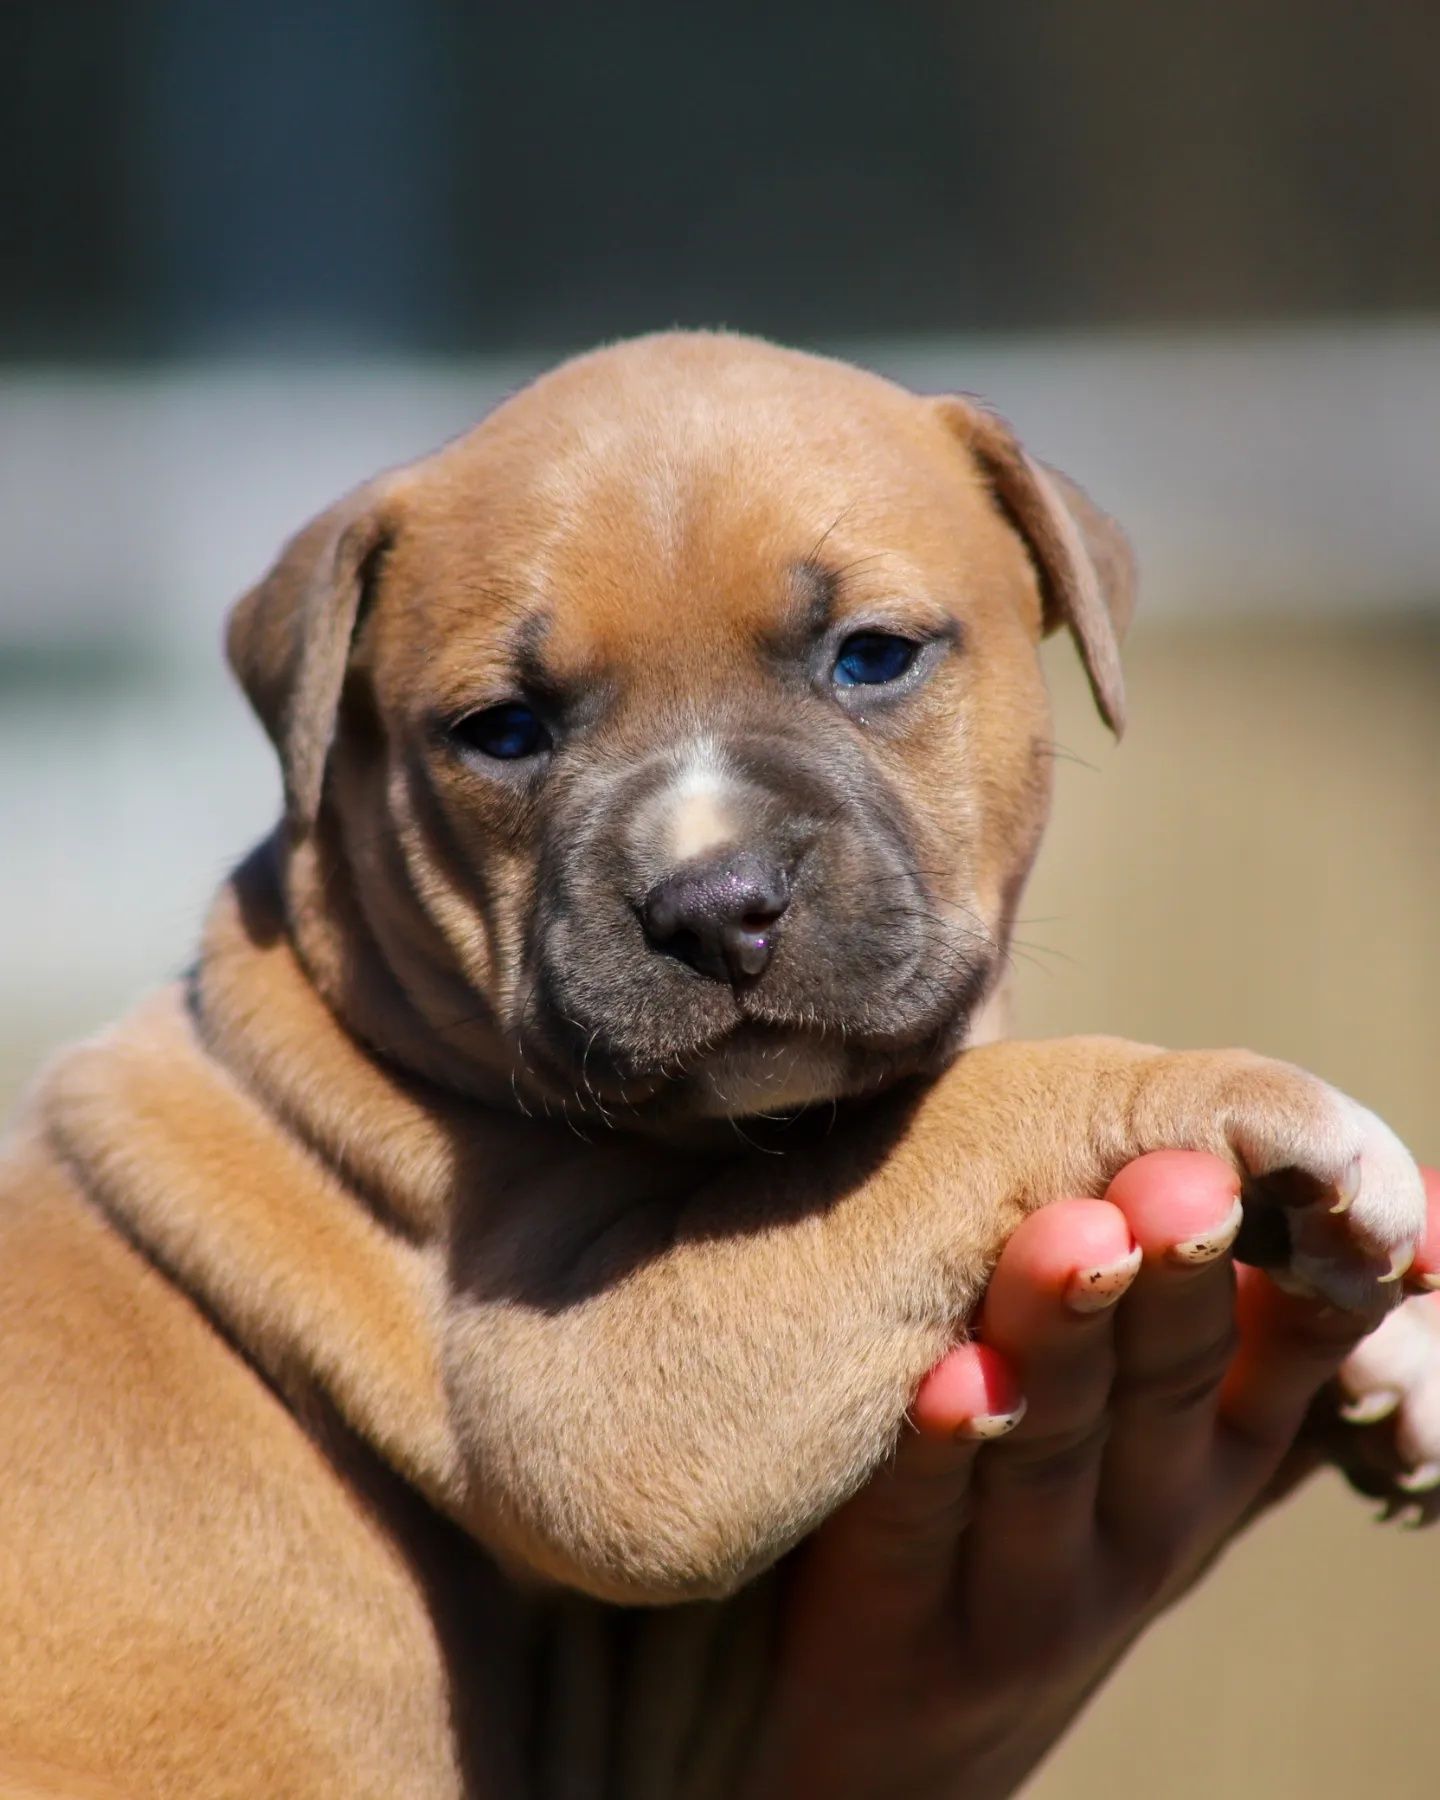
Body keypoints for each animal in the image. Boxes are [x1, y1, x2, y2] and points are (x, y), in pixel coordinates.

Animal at [0, 331, 1432, 1792]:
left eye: (873, 657)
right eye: (502, 732)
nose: (714, 904)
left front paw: (1387, 1347)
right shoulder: (597, 1399)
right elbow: (958, 1111)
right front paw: (1268, 1109)